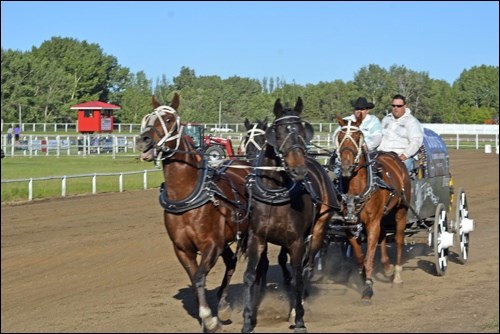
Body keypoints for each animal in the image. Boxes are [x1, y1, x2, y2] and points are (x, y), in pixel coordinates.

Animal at [135, 93, 252, 332]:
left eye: (169, 119)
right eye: (148, 118)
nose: (144, 140)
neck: (187, 195)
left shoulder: (211, 244)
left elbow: (199, 277)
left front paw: (209, 319)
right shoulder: (182, 248)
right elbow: (195, 279)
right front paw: (210, 316)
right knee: (231, 262)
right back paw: (223, 305)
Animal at [241, 98, 340, 332]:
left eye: (302, 132)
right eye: (278, 133)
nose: (299, 171)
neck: (274, 194)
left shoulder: (296, 242)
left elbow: (297, 277)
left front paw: (299, 318)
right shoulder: (257, 237)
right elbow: (251, 275)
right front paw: (248, 319)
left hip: (319, 229)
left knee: (307, 268)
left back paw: (299, 304)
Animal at [334, 113, 412, 302]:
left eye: (357, 137)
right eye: (340, 137)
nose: (346, 167)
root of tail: (393, 156)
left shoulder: (372, 223)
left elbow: (369, 256)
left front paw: (368, 288)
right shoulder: (349, 225)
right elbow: (360, 257)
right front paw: (364, 277)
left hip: (401, 211)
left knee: (399, 240)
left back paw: (397, 275)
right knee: (383, 235)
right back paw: (387, 267)